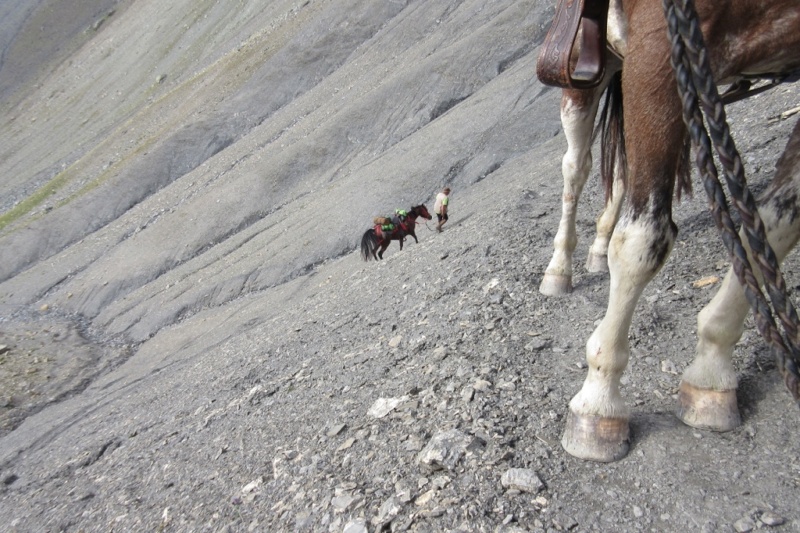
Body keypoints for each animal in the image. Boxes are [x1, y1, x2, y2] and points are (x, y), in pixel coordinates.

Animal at [536, 0, 800, 460]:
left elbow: (774, 224)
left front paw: (711, 370)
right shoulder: (657, 47)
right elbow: (642, 241)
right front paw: (599, 404)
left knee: (621, 168)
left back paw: (597, 251)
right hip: (585, 66)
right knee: (577, 167)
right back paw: (559, 269)